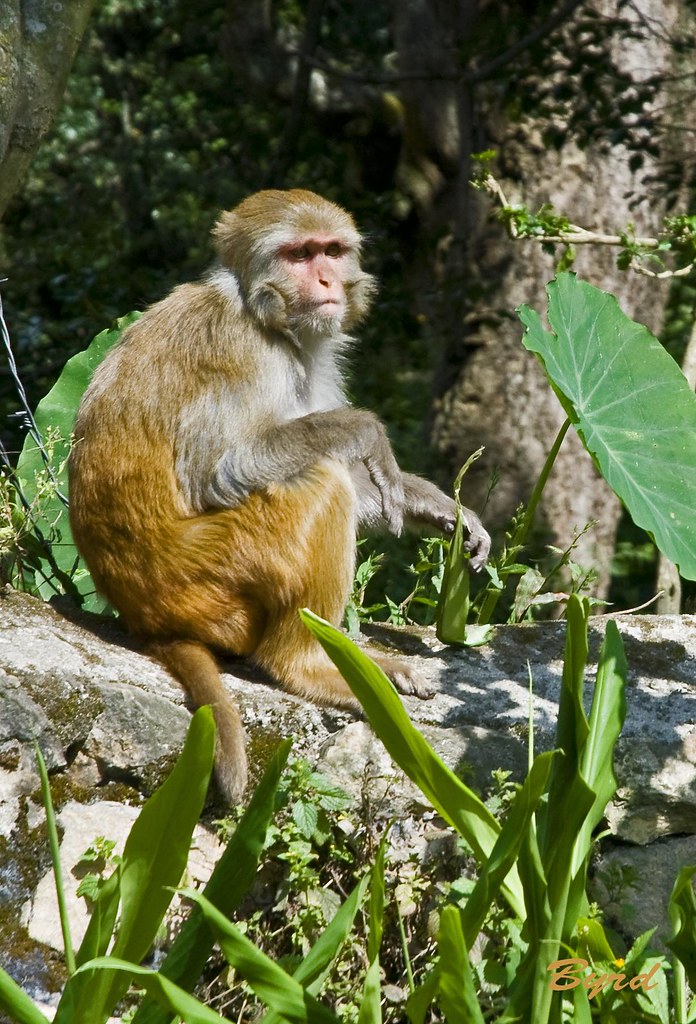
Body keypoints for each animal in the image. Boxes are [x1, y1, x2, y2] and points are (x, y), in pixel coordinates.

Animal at [68, 189, 490, 804]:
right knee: (319, 483)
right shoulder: (242, 349)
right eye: (298, 254)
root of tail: (145, 618)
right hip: (207, 580)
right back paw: (305, 666)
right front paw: (369, 432)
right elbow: (224, 469)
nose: (326, 281)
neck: (261, 314)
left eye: (331, 251)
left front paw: (435, 505)